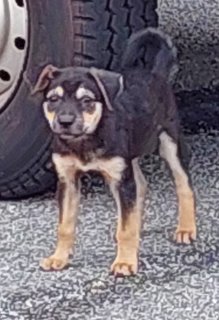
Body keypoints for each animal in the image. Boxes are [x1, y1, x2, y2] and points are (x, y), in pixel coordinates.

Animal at [33, 28, 197, 276]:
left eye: (87, 100)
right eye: (53, 99)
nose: (65, 122)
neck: (86, 140)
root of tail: (155, 73)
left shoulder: (122, 178)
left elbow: (125, 229)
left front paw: (125, 263)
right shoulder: (68, 180)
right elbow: (64, 225)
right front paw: (58, 258)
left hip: (170, 142)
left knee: (183, 185)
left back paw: (186, 228)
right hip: (126, 162)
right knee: (141, 186)